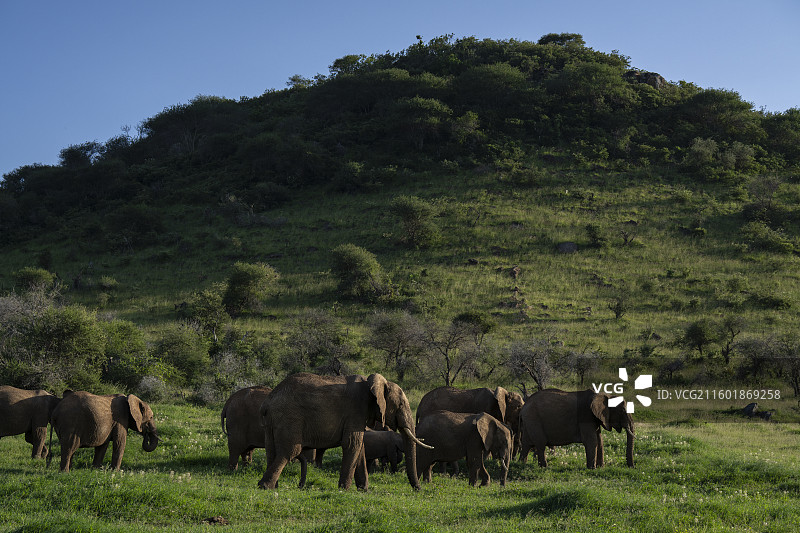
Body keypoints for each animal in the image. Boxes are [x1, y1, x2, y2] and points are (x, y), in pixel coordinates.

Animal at [257, 372, 431, 491]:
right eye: (401, 404)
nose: (418, 489)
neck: (372, 383)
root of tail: (268, 402)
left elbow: (360, 448)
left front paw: (363, 490)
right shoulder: (356, 410)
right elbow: (352, 444)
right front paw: (344, 489)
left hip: (270, 423)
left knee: (271, 451)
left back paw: (273, 486)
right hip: (290, 418)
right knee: (289, 451)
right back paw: (265, 486)